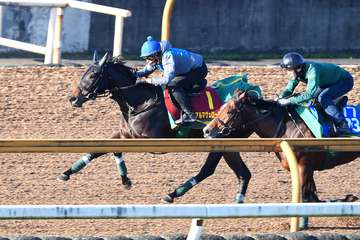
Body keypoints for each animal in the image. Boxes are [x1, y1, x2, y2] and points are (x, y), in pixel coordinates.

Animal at [57, 52, 252, 202]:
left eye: (92, 75)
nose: (73, 98)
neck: (141, 102)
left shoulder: (150, 141)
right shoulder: (125, 134)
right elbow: (103, 150)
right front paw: (68, 172)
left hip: (225, 141)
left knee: (213, 170)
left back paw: (173, 195)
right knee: (239, 173)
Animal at [204, 92, 358, 229]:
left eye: (230, 112)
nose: (206, 130)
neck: (287, 128)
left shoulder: (304, 166)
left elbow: (306, 197)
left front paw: (301, 225)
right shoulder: (307, 168)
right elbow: (313, 197)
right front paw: (347, 198)